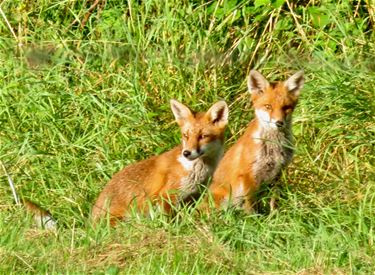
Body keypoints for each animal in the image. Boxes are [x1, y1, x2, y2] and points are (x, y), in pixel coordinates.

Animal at [93, 99, 229, 224]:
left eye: (203, 136)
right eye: (186, 135)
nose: (186, 153)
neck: (199, 171)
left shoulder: (194, 196)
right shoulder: (167, 195)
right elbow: (168, 220)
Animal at [209, 70, 306, 212]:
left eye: (286, 107)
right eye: (268, 106)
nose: (279, 123)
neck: (273, 147)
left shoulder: (277, 173)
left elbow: (273, 200)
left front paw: (274, 215)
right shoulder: (248, 176)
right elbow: (251, 206)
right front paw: (254, 217)